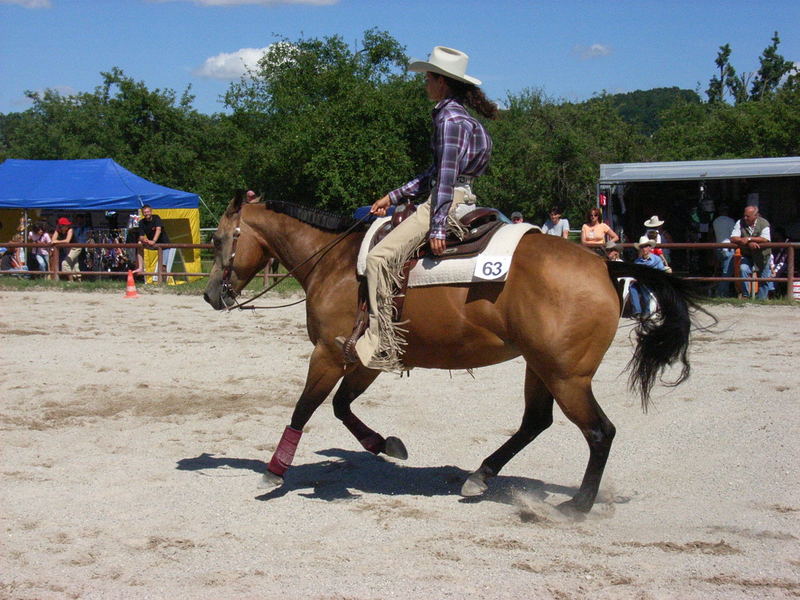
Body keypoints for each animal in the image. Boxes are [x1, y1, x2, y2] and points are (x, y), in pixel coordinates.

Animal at [203, 193, 704, 516]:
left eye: (219, 239)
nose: (210, 295)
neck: (339, 265)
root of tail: (605, 266)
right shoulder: (366, 357)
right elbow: (343, 407)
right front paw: (385, 444)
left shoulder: (328, 354)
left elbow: (305, 408)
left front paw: (274, 471)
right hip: (541, 368)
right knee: (535, 422)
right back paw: (481, 475)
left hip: (567, 377)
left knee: (599, 432)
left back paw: (576, 504)